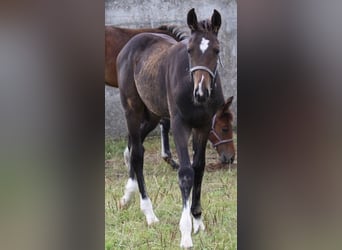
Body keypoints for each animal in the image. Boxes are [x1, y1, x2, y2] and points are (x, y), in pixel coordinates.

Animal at [117, 8, 224, 248]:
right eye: (189, 50)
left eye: (216, 50)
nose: (200, 93)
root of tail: (131, 43)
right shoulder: (179, 125)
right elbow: (185, 172)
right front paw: (185, 234)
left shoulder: (203, 125)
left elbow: (199, 167)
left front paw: (198, 221)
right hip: (132, 109)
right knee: (137, 154)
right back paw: (149, 213)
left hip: (153, 114)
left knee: (134, 145)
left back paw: (128, 195)